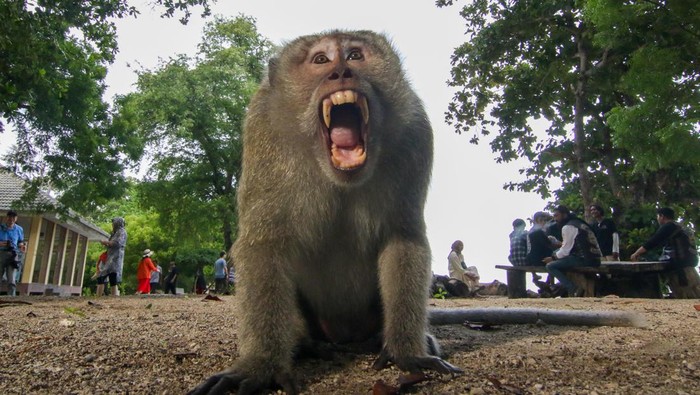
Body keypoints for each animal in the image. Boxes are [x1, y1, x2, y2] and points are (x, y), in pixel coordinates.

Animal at [187, 31, 644, 395]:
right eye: (320, 61)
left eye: (355, 55)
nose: (340, 74)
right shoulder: (262, 132)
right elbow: (264, 246)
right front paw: (261, 366)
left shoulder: (415, 132)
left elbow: (402, 240)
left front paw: (407, 352)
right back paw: (306, 346)